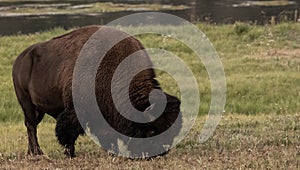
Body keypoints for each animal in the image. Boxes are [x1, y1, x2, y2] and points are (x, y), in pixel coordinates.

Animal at [12, 25, 182, 158]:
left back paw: (32, 152)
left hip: (39, 109)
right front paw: (70, 154)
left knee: (31, 126)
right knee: (31, 126)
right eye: (152, 131)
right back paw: (37, 152)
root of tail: (19, 60)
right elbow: (69, 133)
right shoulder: (75, 112)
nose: (159, 153)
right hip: (26, 103)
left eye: (172, 132)